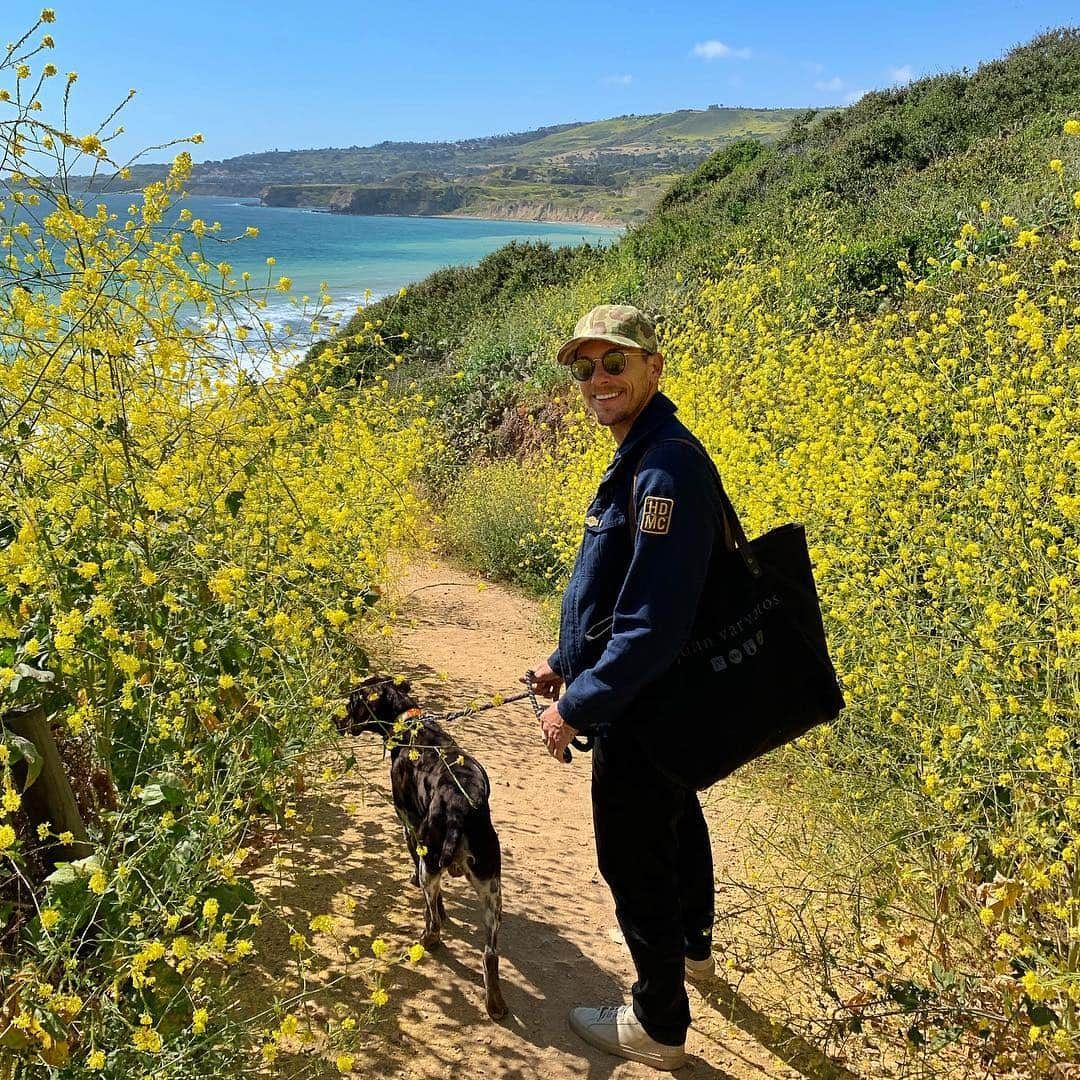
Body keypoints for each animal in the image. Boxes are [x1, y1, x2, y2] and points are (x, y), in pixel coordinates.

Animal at [341, 673, 509, 1019]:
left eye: (351, 703)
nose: (335, 720)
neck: (409, 724)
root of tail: (462, 805)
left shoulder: (410, 827)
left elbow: (433, 900)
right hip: (492, 893)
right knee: (490, 954)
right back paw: (495, 1004)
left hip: (430, 863)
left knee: (434, 922)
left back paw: (427, 939)